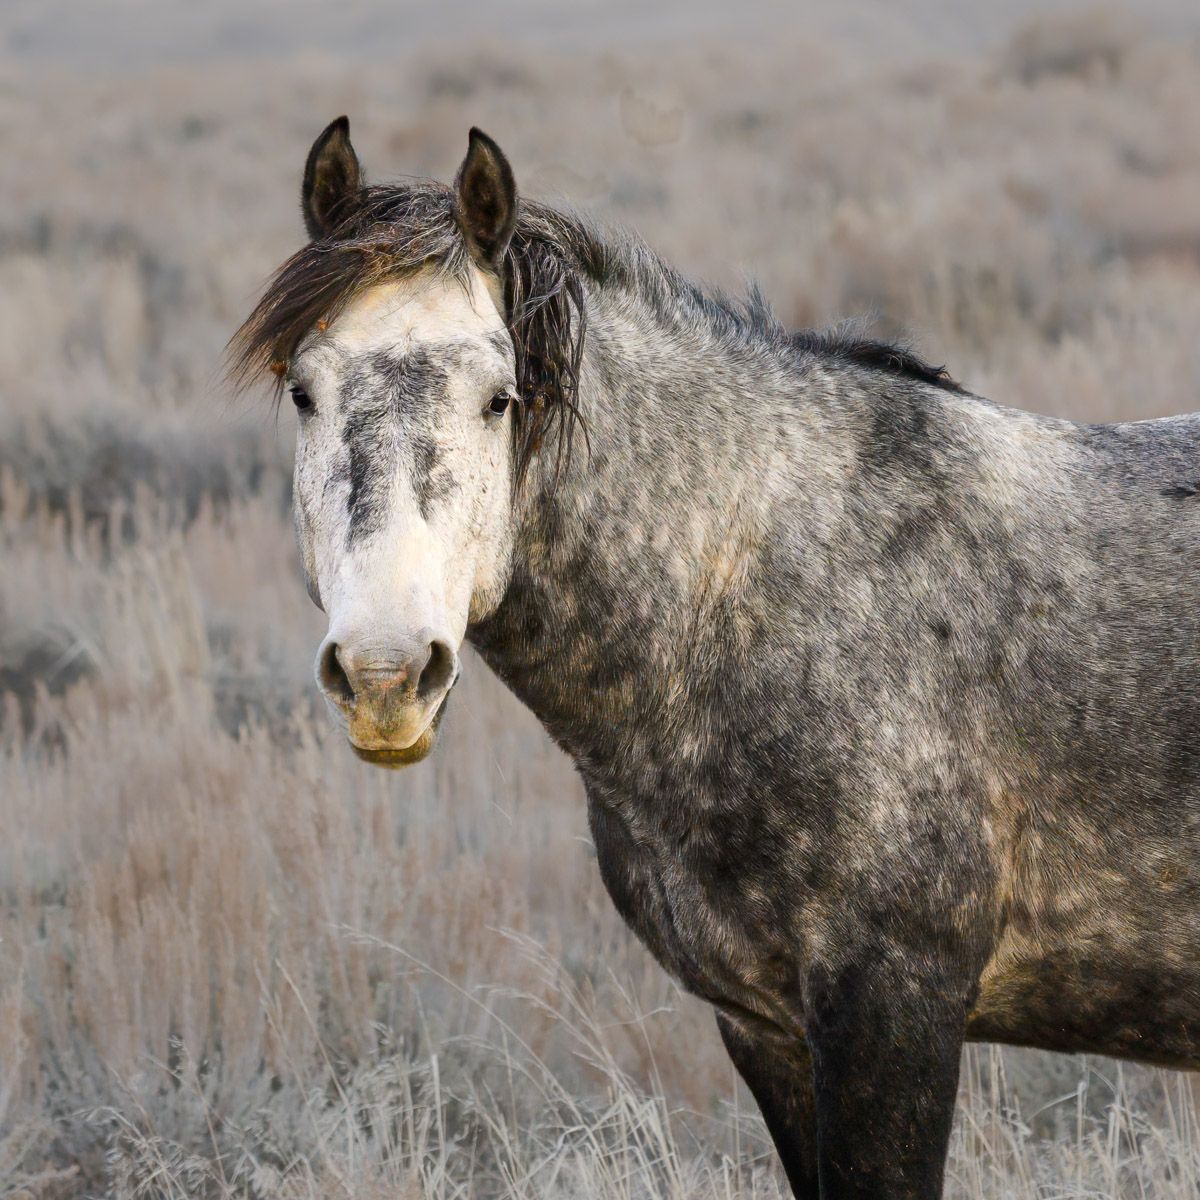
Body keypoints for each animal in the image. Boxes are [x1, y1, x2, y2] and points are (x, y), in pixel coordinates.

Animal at [231, 118, 1200, 1198]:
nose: (387, 675)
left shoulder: (895, 1010)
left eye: (500, 398)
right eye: (303, 391)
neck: (763, 588)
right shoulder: (766, 1029)